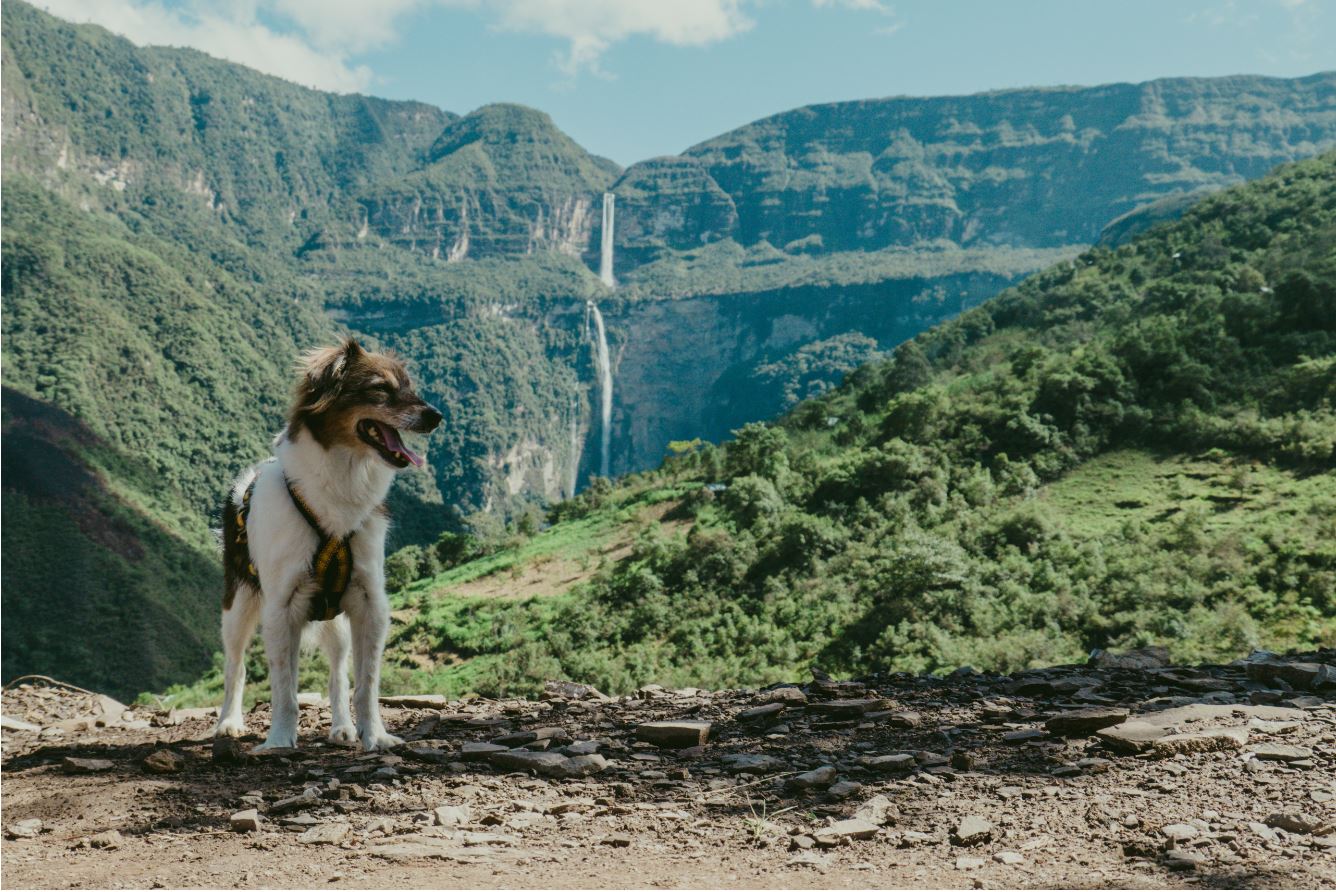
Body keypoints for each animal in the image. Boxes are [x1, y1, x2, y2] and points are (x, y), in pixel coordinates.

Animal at [213, 341, 440, 753]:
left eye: (409, 387)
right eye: (380, 389)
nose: (437, 416)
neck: (341, 481)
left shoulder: (370, 602)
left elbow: (366, 683)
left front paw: (374, 734)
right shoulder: (281, 607)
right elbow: (283, 687)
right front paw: (280, 739)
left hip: (335, 622)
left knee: (338, 674)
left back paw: (342, 727)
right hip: (237, 605)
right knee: (235, 665)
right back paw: (228, 722)